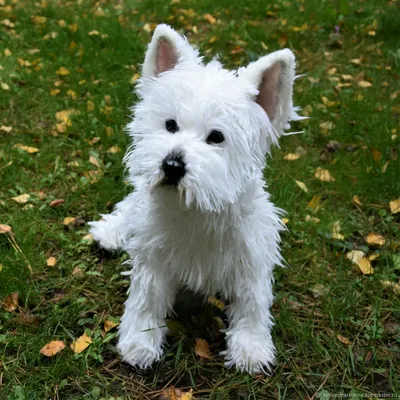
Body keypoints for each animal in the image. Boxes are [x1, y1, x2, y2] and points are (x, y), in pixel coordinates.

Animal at [90, 25, 304, 374]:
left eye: (216, 137)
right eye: (170, 125)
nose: (171, 165)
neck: (196, 210)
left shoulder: (251, 259)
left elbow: (252, 303)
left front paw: (251, 347)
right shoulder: (154, 258)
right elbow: (147, 297)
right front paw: (139, 341)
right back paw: (111, 232)